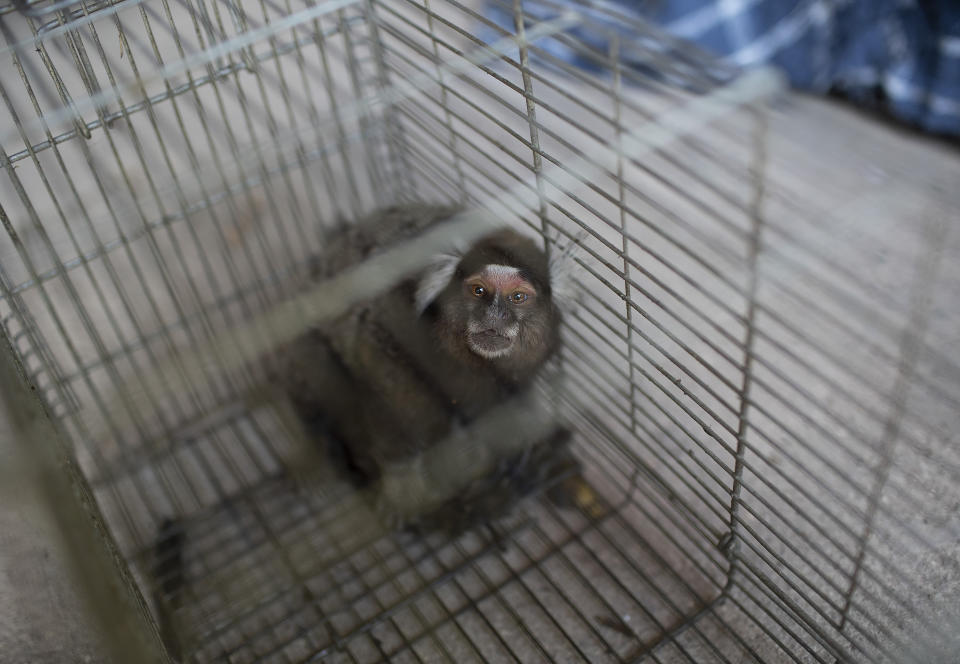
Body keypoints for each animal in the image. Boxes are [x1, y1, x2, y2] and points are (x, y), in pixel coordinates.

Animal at [278, 205, 576, 532]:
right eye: (478, 290)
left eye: (518, 297)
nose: (494, 317)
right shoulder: (395, 321)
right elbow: (385, 379)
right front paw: (403, 490)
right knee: (311, 360)